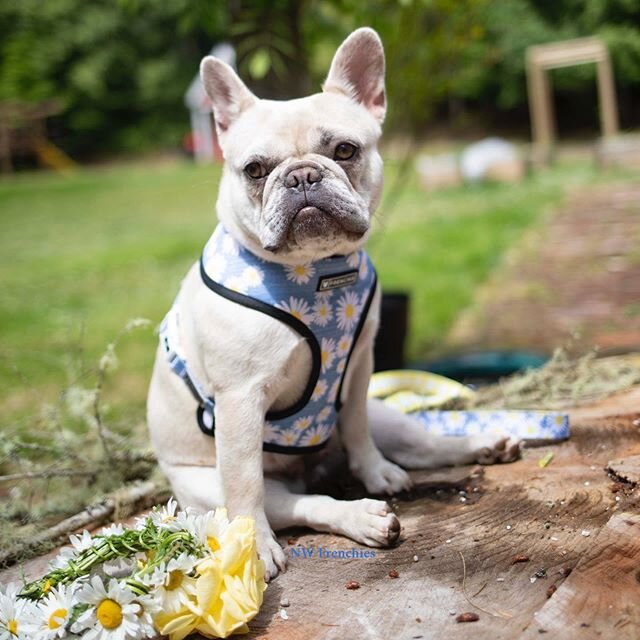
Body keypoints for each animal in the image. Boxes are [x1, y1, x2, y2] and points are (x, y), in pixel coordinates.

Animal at [146, 28, 520, 580]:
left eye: (345, 150)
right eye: (254, 170)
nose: (302, 176)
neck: (316, 272)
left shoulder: (359, 369)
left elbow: (359, 429)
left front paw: (376, 471)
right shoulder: (239, 401)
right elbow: (245, 486)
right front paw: (255, 546)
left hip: (387, 412)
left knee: (419, 444)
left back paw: (477, 445)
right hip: (208, 486)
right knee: (295, 503)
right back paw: (360, 517)